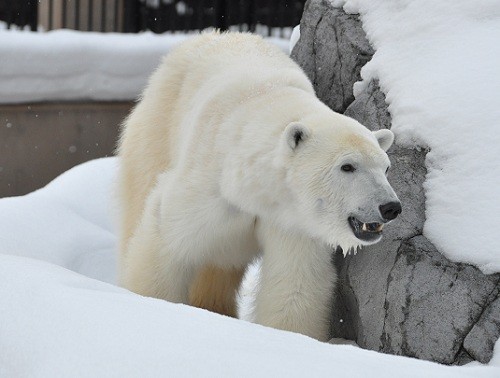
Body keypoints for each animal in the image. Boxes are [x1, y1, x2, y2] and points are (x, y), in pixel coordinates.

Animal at [116, 31, 398, 342]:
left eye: (385, 167)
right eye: (347, 166)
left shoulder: (293, 221)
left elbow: (294, 282)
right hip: (159, 126)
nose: (390, 207)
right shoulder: (210, 185)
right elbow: (168, 241)